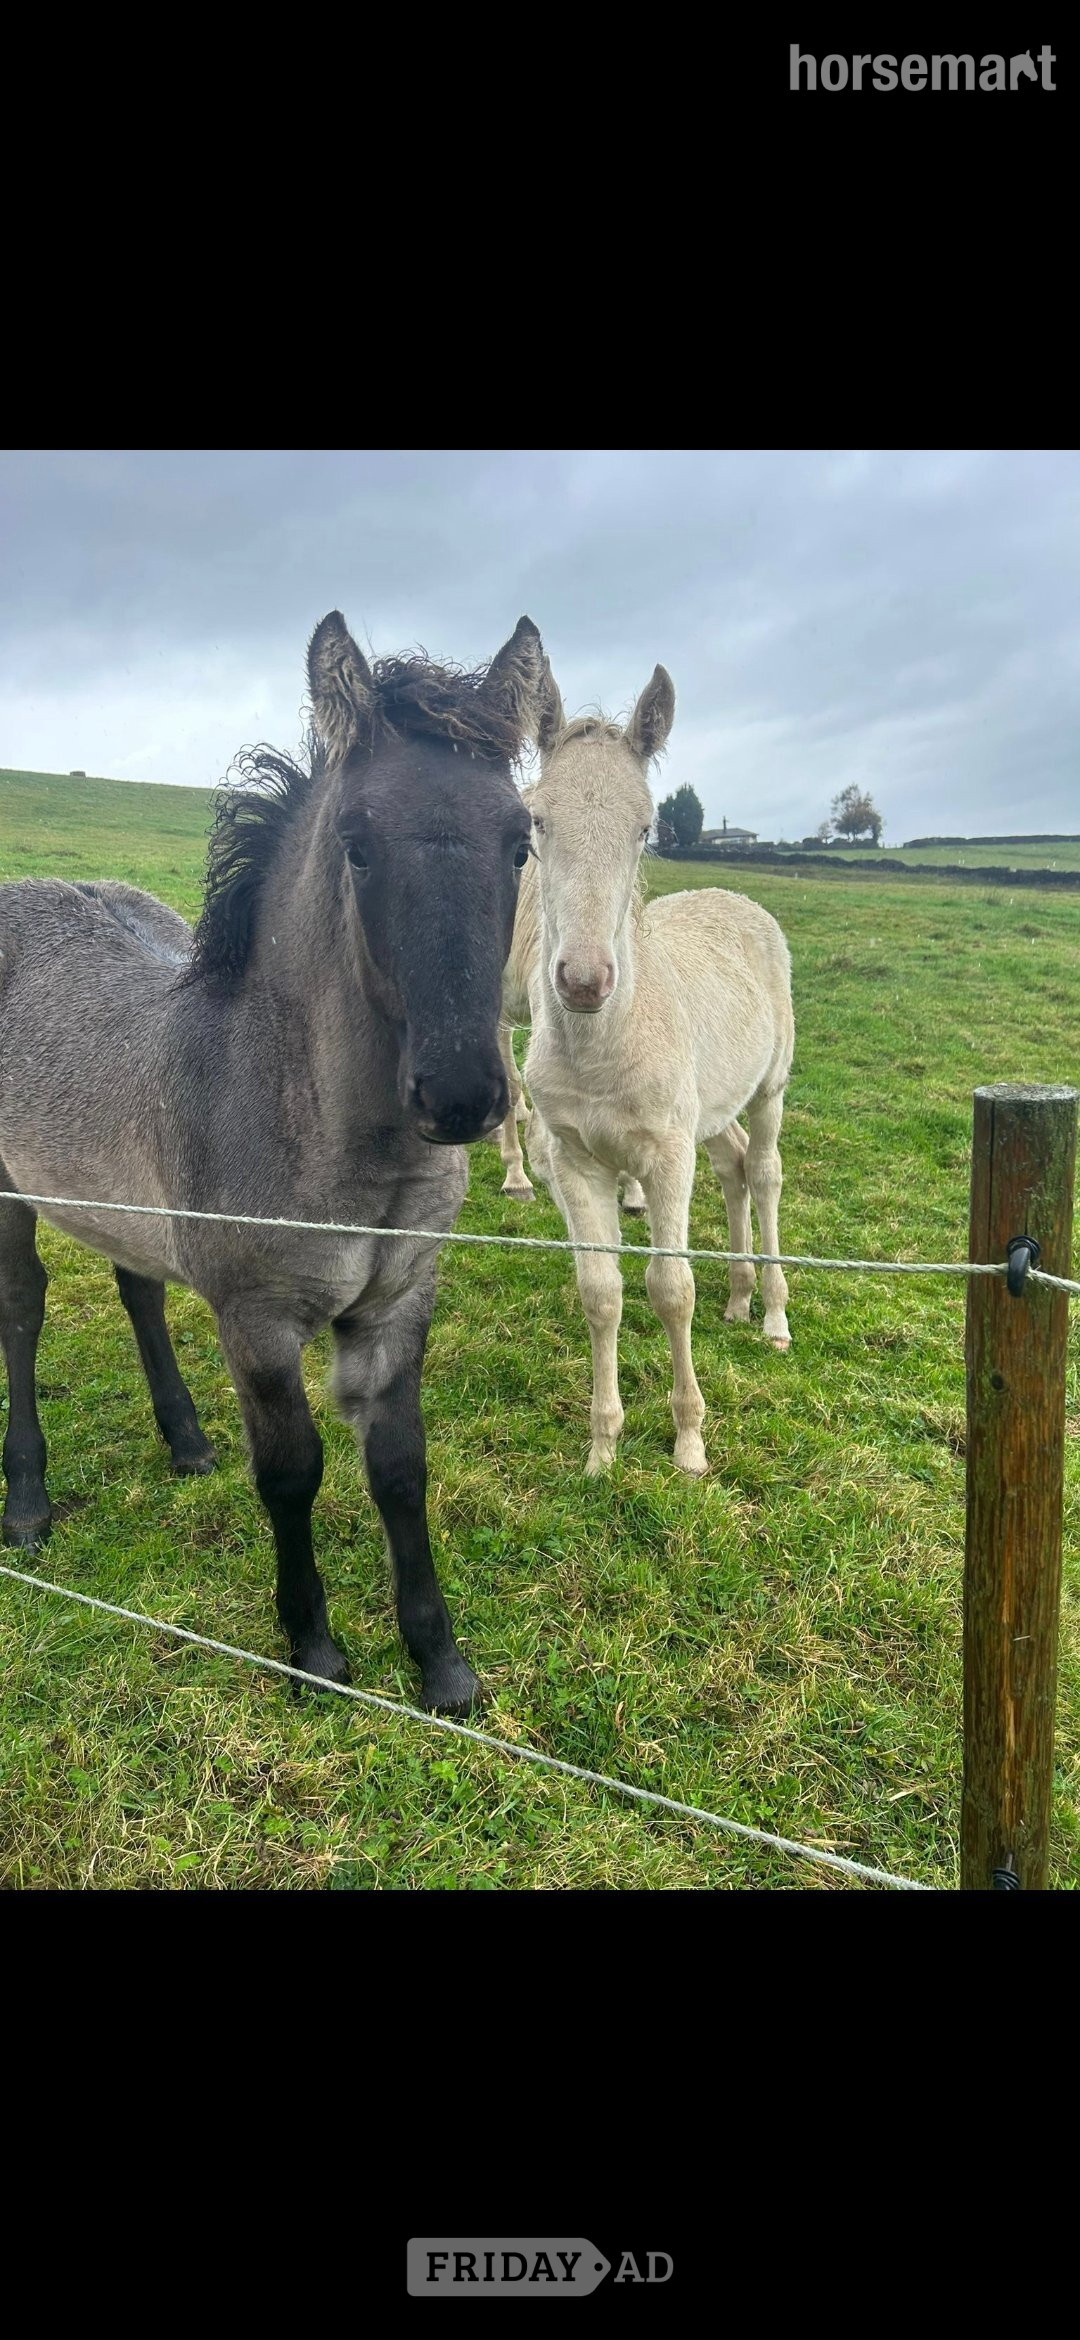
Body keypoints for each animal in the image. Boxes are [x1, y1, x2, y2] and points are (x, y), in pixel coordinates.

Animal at [0, 612, 543, 1713]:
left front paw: (441, 1663)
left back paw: (185, 1441)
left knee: (138, 1289)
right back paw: (27, 1500)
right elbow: (292, 1471)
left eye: (520, 842)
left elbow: (400, 1467)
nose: (462, 1094)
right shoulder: (256, 1320)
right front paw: (316, 1651)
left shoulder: (397, 1304)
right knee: (21, 1307)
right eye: (357, 846)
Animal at [521, 655, 794, 1477]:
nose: (582, 980)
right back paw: (738, 1299)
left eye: (645, 827)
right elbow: (602, 1292)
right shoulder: (576, 1160)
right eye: (535, 820)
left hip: (769, 1087)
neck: (604, 1050)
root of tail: (737, 896)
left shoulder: (667, 1155)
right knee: (732, 1163)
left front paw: (689, 1445)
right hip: (710, 1109)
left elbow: (671, 1289)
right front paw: (602, 1449)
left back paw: (773, 1314)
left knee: (764, 1171)